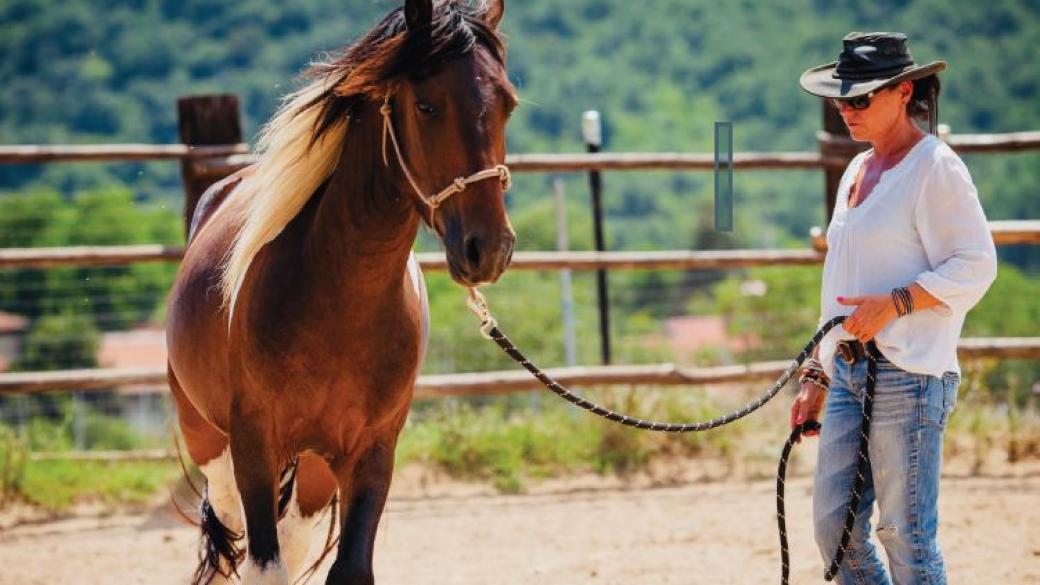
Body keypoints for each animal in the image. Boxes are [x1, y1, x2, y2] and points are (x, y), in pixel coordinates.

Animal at [165, 2, 515, 578]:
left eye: (507, 103)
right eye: (426, 104)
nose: (488, 248)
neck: (339, 305)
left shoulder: (372, 451)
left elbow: (348, 567)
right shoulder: (254, 446)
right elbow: (263, 564)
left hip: (312, 470)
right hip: (212, 444)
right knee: (227, 535)